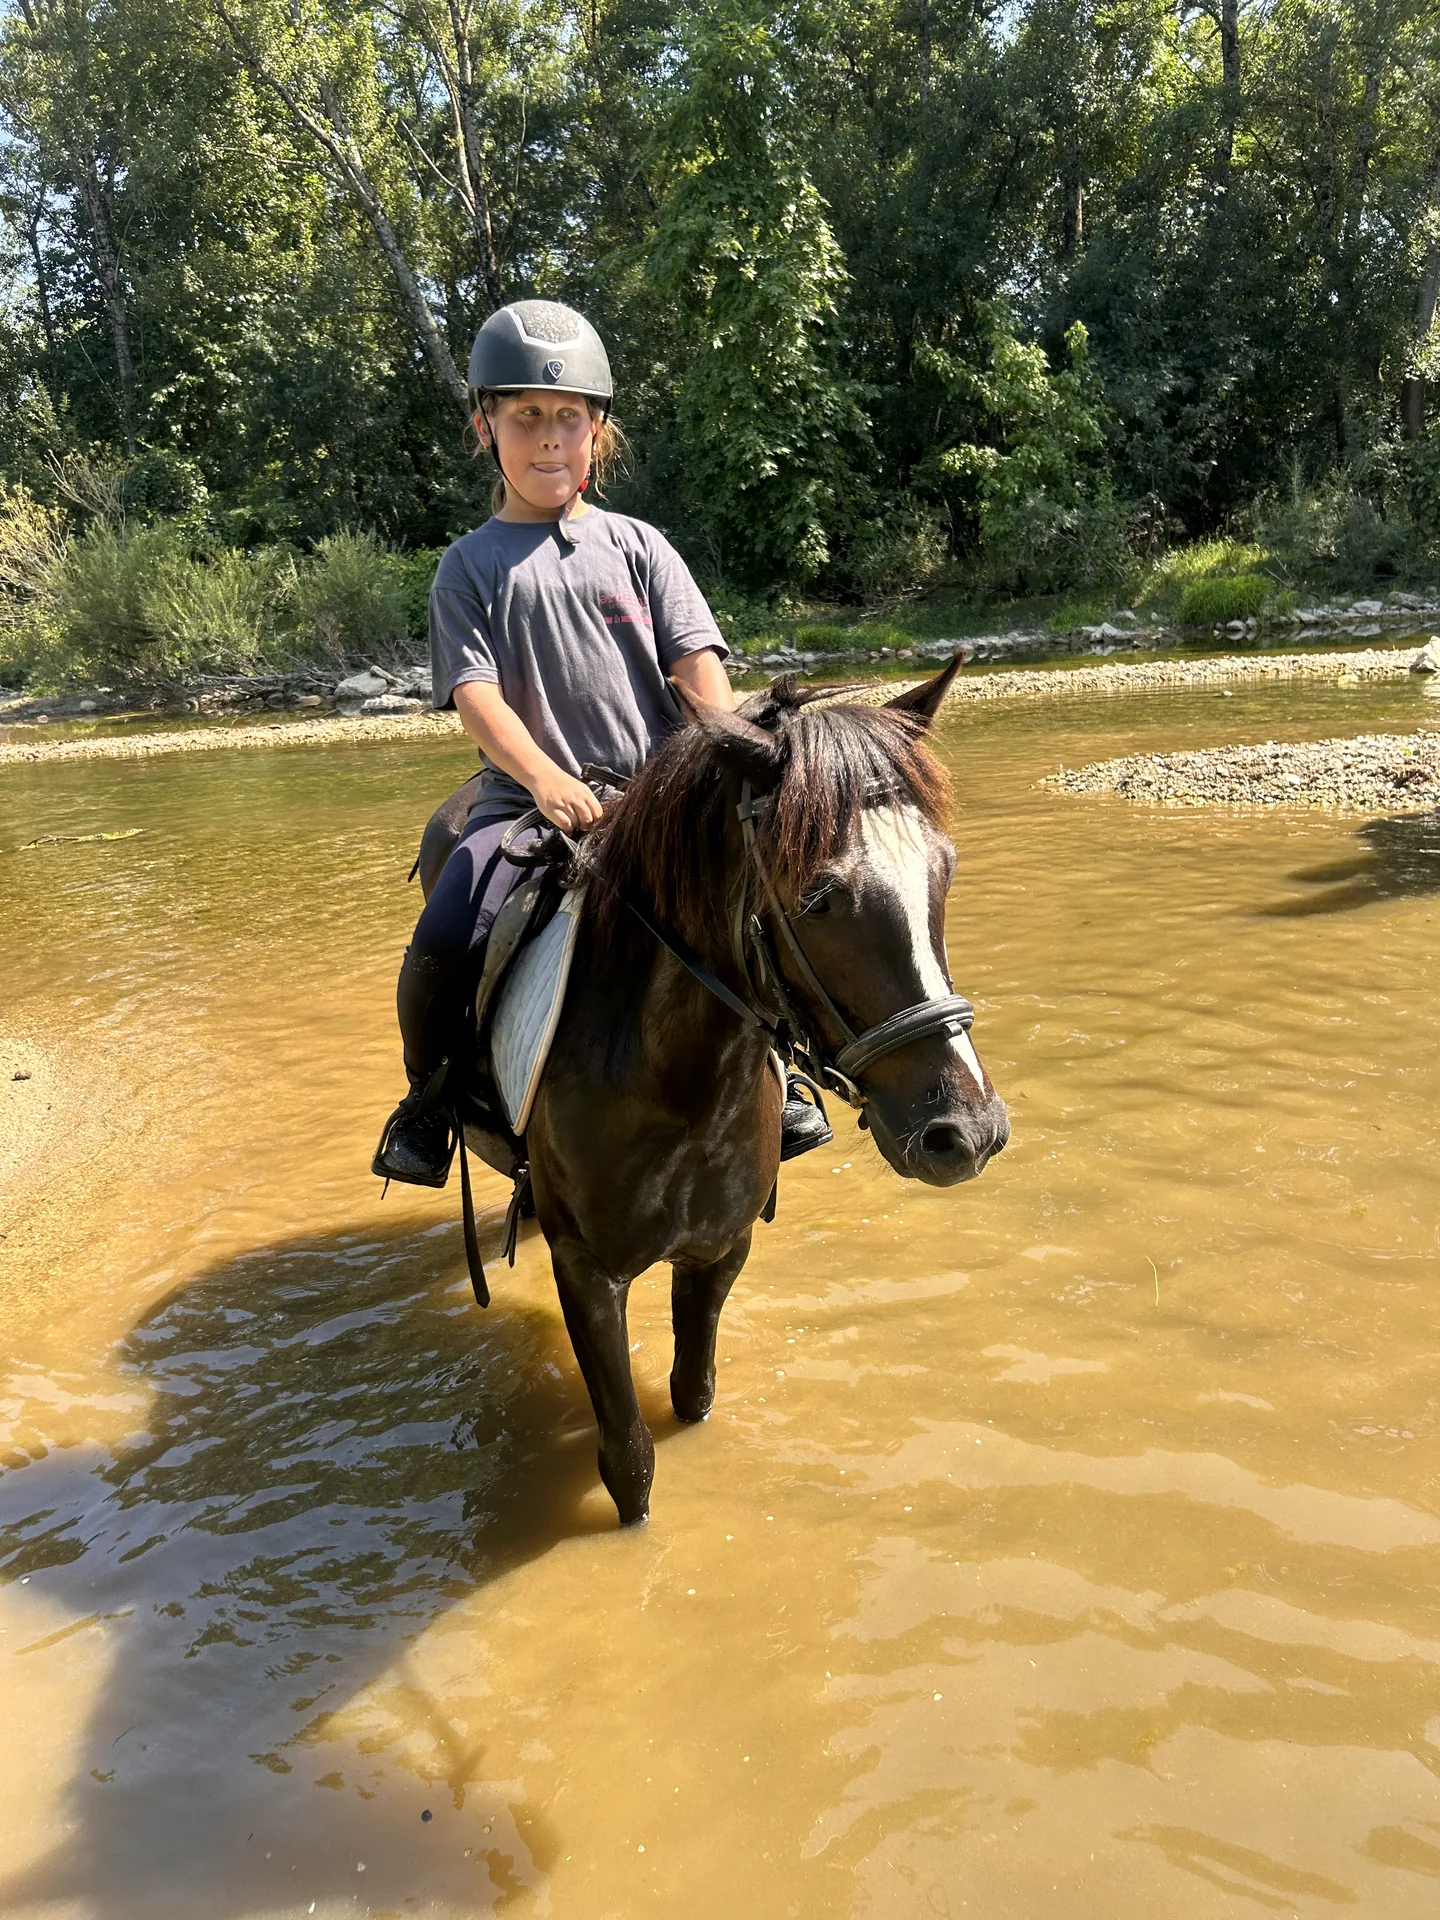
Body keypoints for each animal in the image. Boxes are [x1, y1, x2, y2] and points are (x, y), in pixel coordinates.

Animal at [417, 659, 1009, 1525]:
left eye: (945, 870)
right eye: (818, 898)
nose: (965, 1132)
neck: (677, 1088)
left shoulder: (720, 1251)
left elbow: (691, 1396)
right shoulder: (587, 1272)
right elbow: (629, 1461)